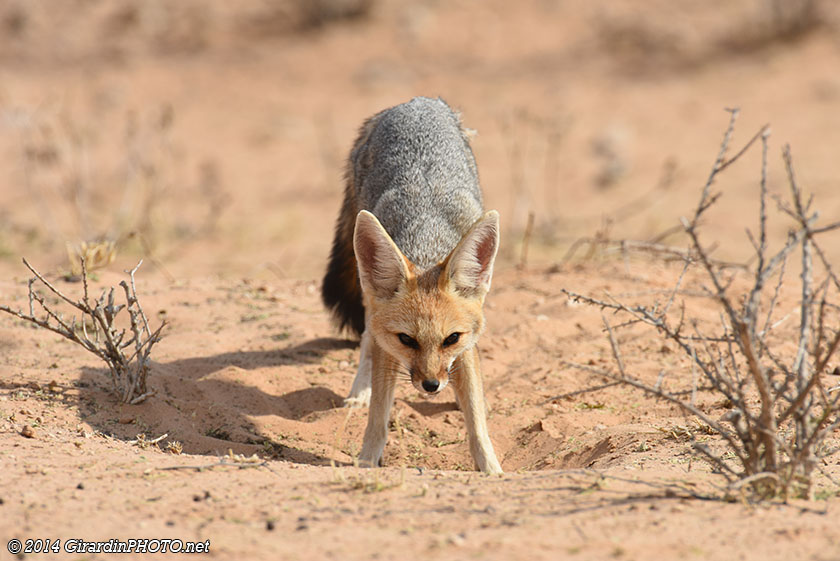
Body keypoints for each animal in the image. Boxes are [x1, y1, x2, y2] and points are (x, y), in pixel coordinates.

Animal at [322, 96, 503, 474]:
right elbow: (378, 416)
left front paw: (491, 468)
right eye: (407, 340)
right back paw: (358, 391)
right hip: (368, 293)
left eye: (451, 339)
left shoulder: (467, 348)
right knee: (365, 335)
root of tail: (417, 102)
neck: (427, 241)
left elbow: (476, 419)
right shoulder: (387, 346)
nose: (431, 386)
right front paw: (367, 461)